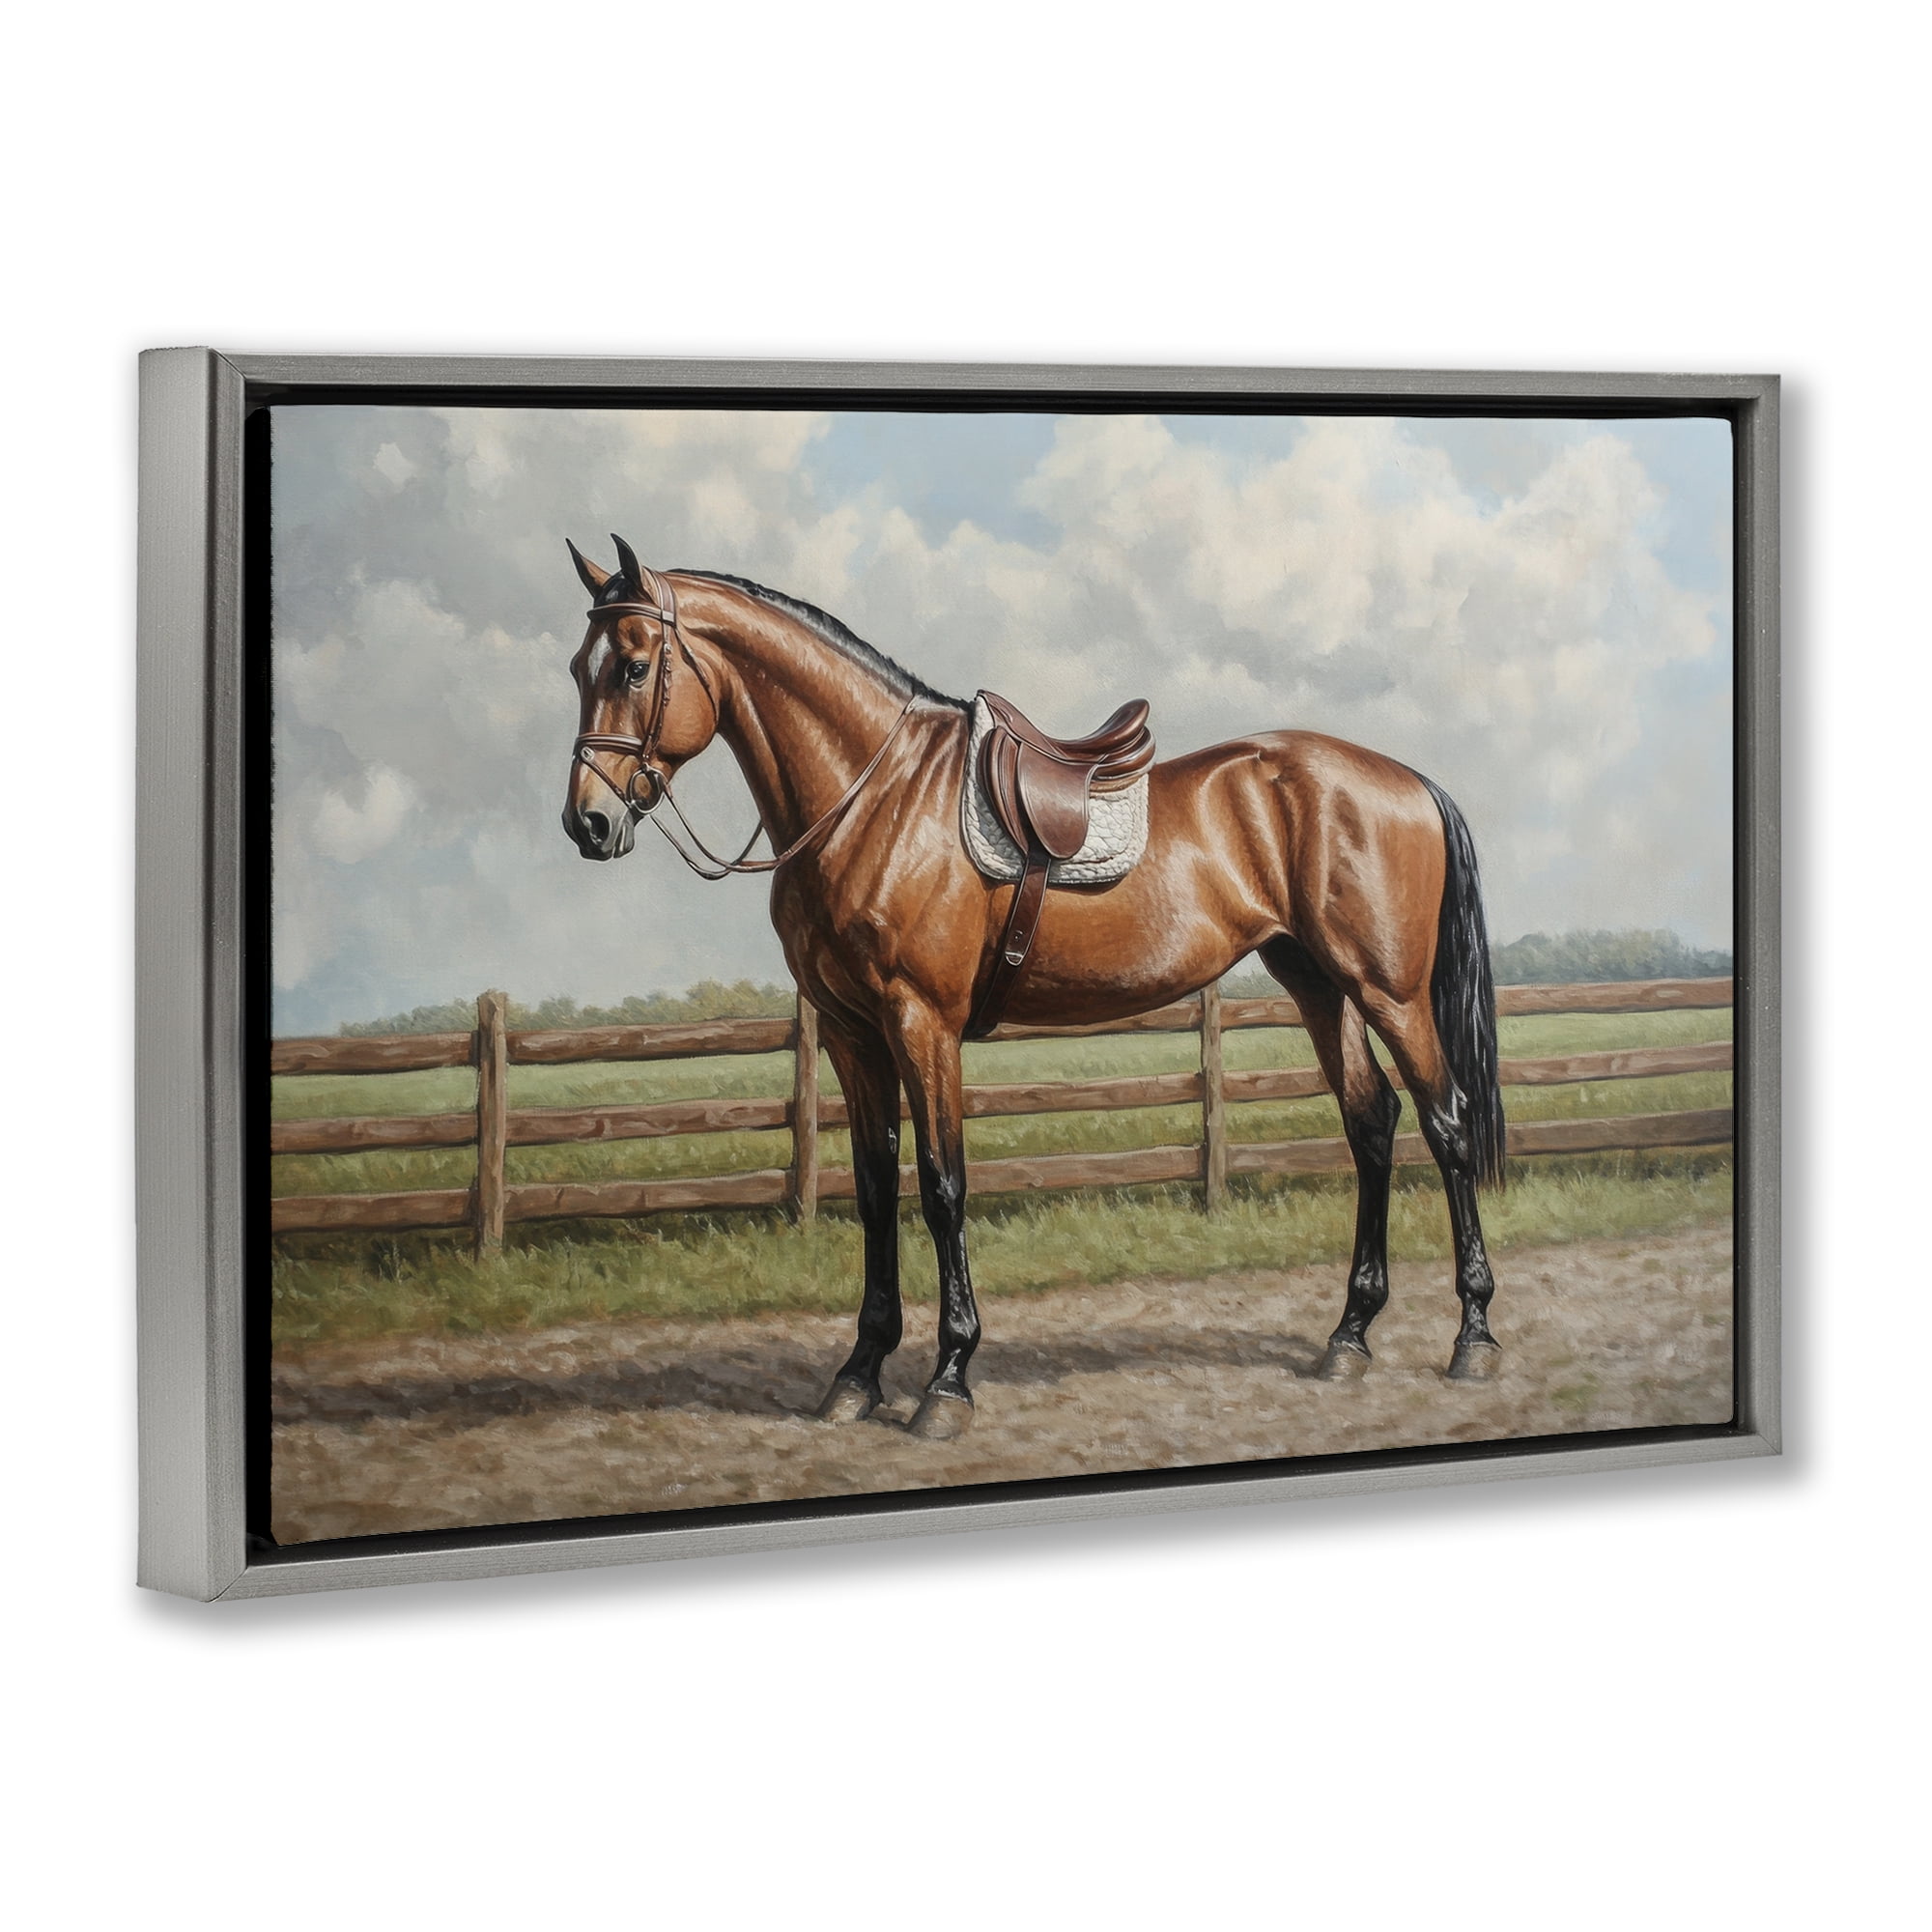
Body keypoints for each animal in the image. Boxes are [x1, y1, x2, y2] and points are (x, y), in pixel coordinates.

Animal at [560, 534, 1507, 1440]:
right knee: (1371, 1124)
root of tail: (1408, 782)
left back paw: (1474, 1337)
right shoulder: (851, 1034)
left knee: (1446, 1123)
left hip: (1388, 992)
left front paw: (947, 1380)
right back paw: (1348, 1338)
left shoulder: (921, 1023)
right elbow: (874, 1187)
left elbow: (942, 1186)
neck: (873, 797)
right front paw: (859, 1374)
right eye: (578, 667)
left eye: (634, 666)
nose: (588, 823)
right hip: (1318, 985)